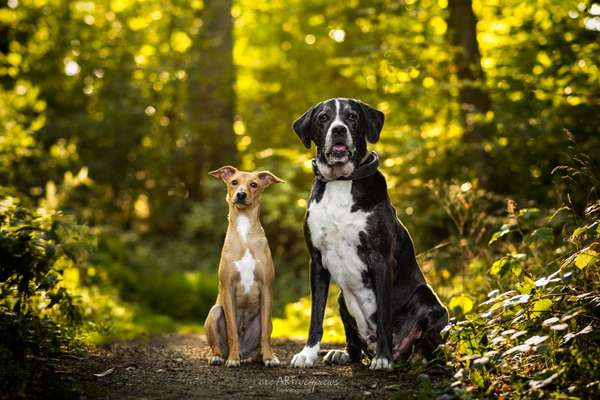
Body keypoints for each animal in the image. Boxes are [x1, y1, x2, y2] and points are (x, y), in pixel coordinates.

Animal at [204, 166, 284, 368]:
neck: (244, 231)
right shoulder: (228, 288)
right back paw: (220, 356)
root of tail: (245, 352)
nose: (241, 194)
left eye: (254, 184)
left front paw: (269, 358)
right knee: (216, 346)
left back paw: (262, 356)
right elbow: (232, 331)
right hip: (215, 312)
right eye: (234, 182)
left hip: (267, 319)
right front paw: (232, 360)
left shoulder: (266, 288)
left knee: (262, 339)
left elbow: (265, 335)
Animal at [288, 98, 448, 370]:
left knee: (428, 348)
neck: (341, 182)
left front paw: (383, 359)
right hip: (342, 300)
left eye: (352, 116)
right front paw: (308, 354)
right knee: (355, 348)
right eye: (323, 117)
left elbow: (383, 314)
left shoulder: (380, 259)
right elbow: (316, 314)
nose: (338, 130)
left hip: (429, 300)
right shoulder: (317, 261)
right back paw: (342, 353)